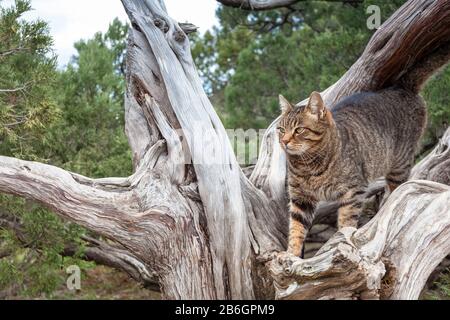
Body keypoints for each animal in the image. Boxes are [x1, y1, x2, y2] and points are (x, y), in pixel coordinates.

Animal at [278, 47, 450, 258]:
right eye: (281, 130)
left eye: (299, 130)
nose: (284, 141)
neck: (307, 164)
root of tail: (401, 87)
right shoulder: (300, 198)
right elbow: (296, 228)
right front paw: (291, 255)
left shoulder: (353, 190)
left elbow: (346, 221)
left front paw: (341, 241)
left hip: (398, 165)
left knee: (395, 193)